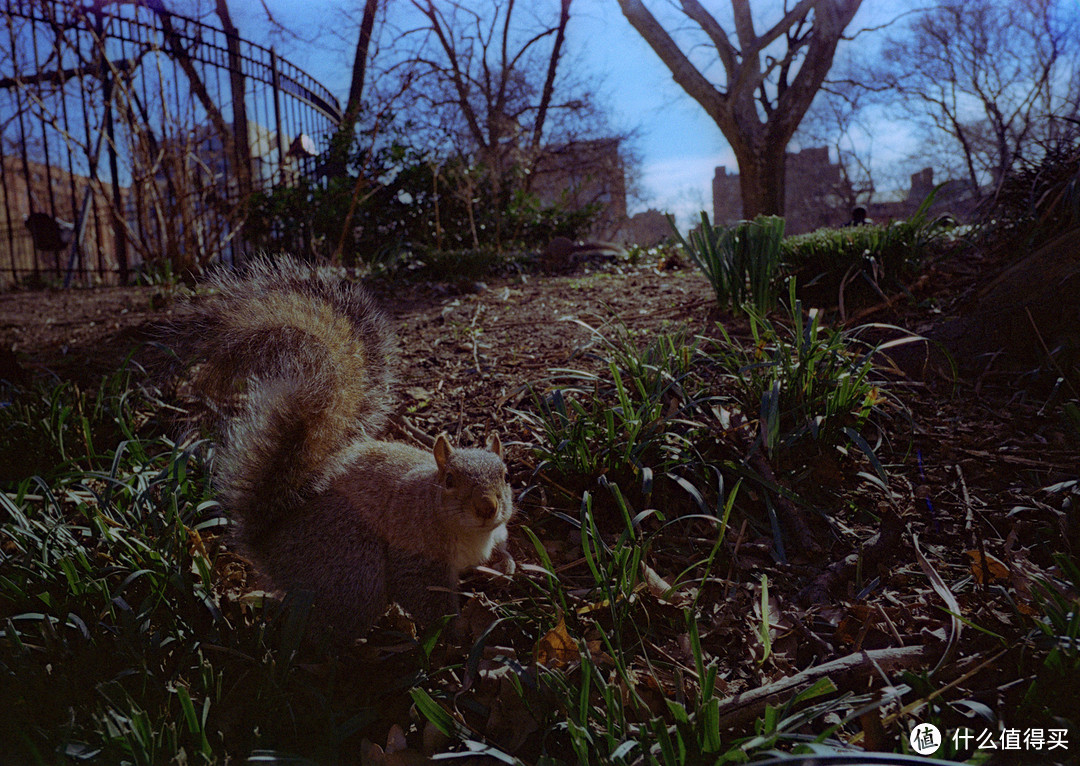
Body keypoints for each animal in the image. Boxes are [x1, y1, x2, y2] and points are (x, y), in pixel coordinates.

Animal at [165, 257, 514, 639]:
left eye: (506, 475)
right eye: (450, 480)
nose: (487, 507)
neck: (469, 532)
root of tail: (269, 544)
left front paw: (507, 566)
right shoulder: (415, 552)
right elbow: (424, 597)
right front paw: (459, 630)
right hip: (354, 569)